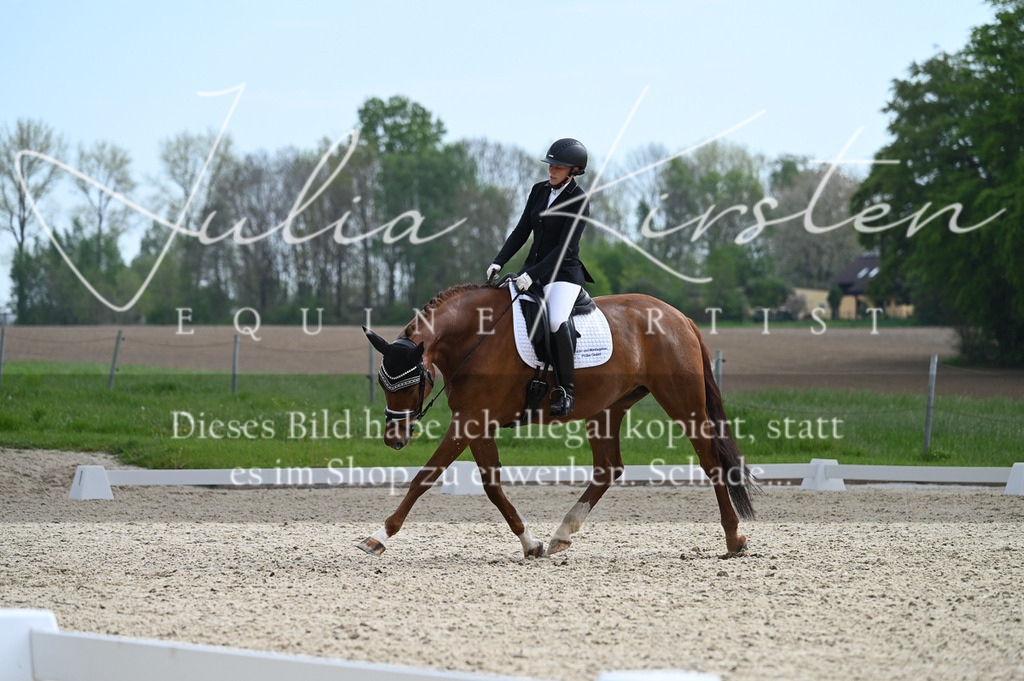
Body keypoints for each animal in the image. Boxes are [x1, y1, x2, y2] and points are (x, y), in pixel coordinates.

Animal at [358, 282, 756, 558]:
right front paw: (529, 543)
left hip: (682, 401)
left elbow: (425, 477)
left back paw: (734, 538)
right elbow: (492, 486)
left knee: (710, 460)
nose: (394, 439)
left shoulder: (470, 419)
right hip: (607, 408)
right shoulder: (476, 420)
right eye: (382, 383)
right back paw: (561, 534)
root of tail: (679, 316)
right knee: (608, 468)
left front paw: (378, 536)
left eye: (414, 383)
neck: (476, 336)